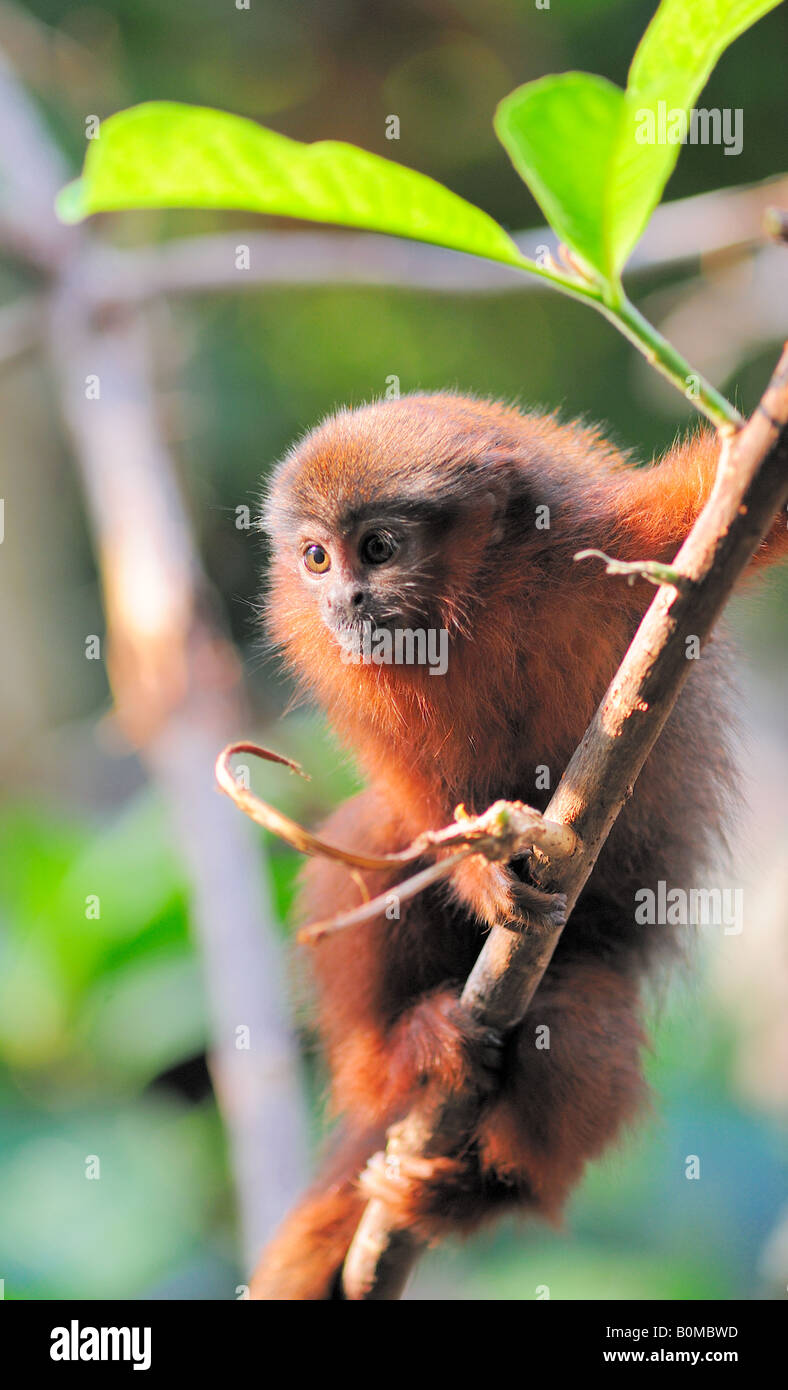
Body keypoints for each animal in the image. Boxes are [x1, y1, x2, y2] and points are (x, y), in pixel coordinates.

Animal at [250, 386, 783, 1295]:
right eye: (316, 558)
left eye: (378, 549)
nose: (342, 601)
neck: (477, 611)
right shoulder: (338, 667)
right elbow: (412, 800)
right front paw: (479, 876)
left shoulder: (635, 547)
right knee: (372, 842)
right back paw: (406, 1053)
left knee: (577, 1015)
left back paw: (485, 1195)